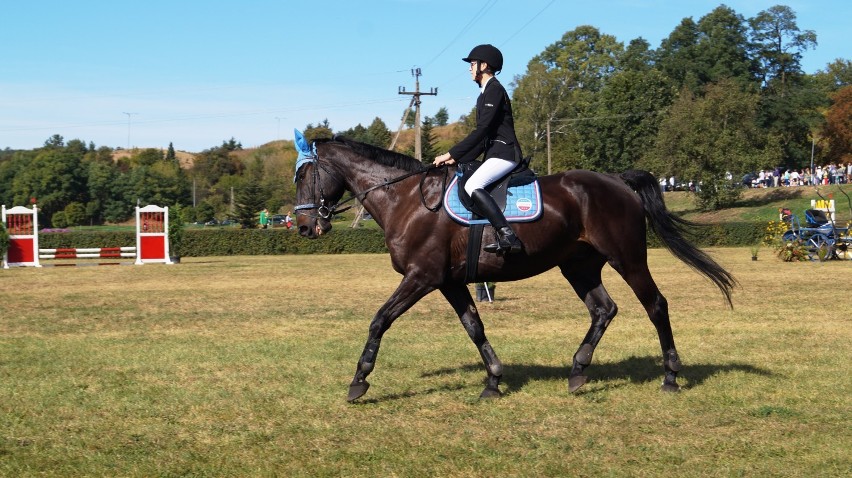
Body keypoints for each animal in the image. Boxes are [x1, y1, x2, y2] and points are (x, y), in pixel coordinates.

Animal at [292, 136, 732, 402]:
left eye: (305, 175)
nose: (304, 226)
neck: (408, 199)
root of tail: (616, 179)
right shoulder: (449, 282)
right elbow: (474, 327)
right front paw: (493, 380)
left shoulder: (421, 277)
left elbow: (379, 320)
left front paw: (359, 380)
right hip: (578, 265)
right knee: (604, 309)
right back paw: (578, 370)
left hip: (628, 258)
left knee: (655, 305)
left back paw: (671, 376)